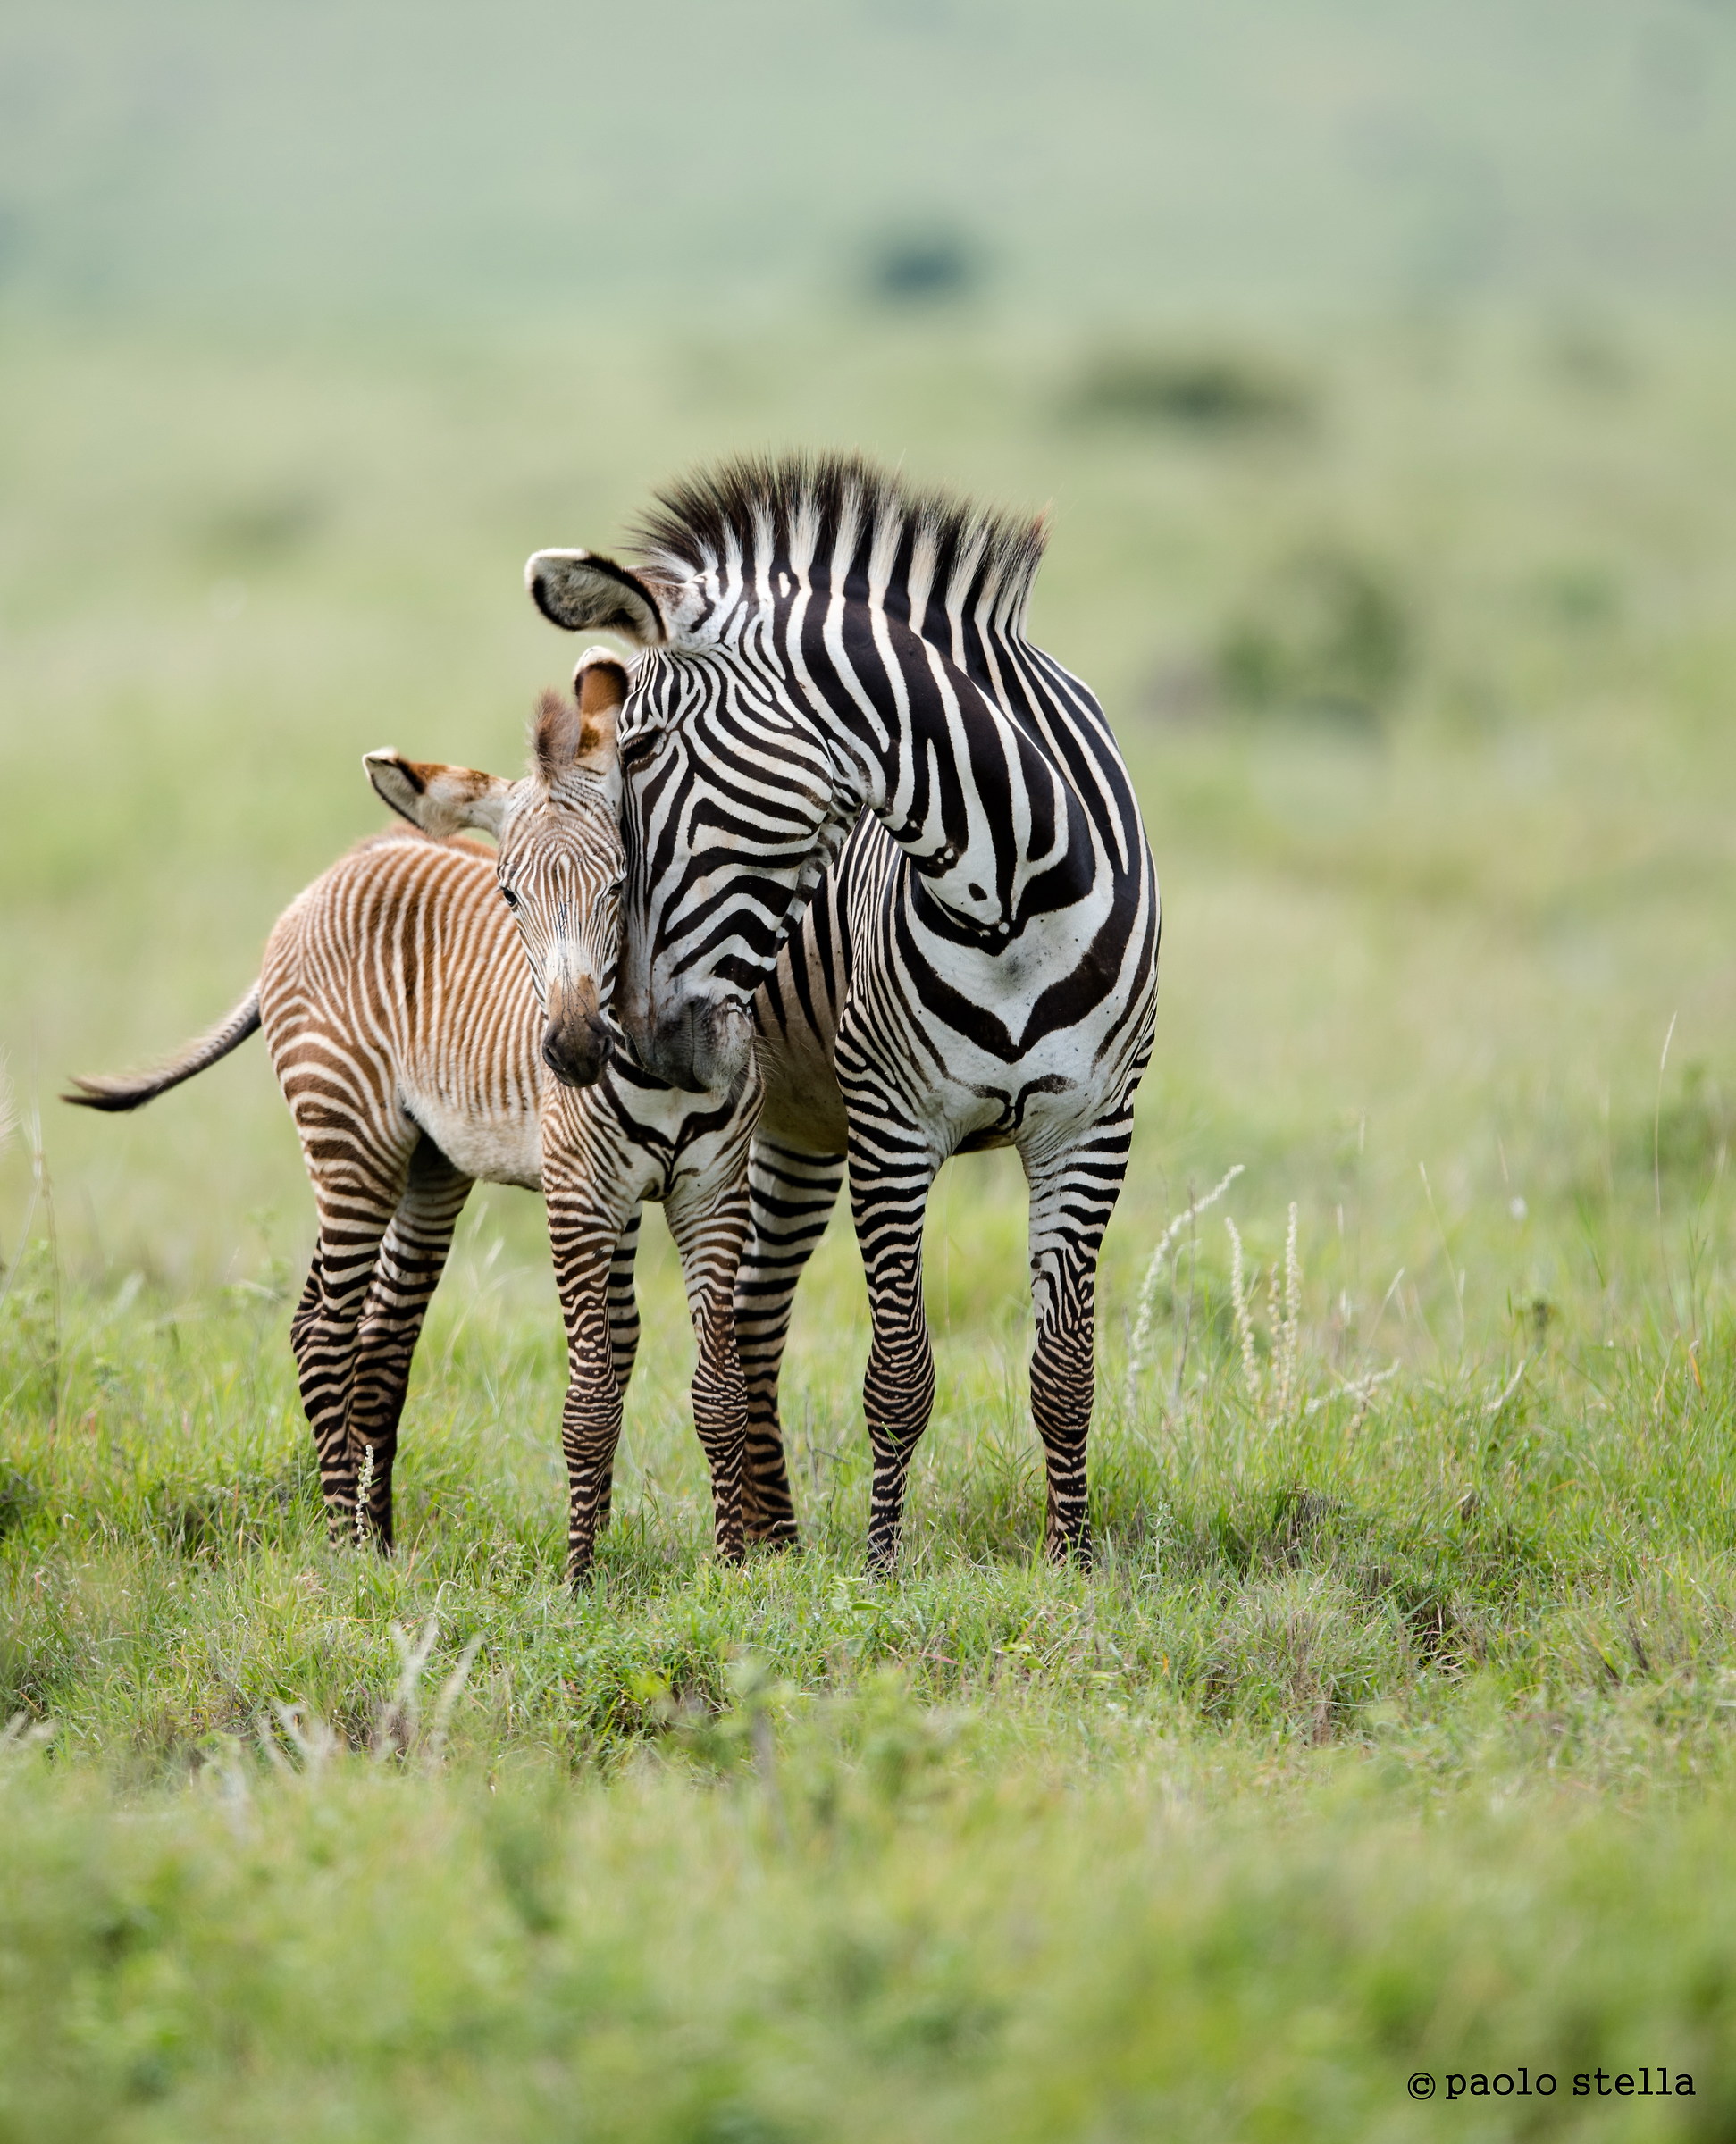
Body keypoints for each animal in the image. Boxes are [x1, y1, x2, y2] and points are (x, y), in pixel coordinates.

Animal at [66, 656, 760, 1579]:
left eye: (621, 884)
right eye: (509, 894)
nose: (574, 1052)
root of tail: (333, 873)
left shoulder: (710, 1192)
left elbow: (715, 1390)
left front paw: (733, 1571)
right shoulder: (580, 1197)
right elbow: (589, 1396)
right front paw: (581, 1580)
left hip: (429, 1165)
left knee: (381, 1342)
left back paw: (384, 1546)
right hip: (349, 1137)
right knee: (323, 1330)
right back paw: (343, 1552)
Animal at [522, 454, 1160, 1569]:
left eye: (640, 753)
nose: (634, 1041)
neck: (1006, 893)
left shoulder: (1091, 1125)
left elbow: (1063, 1370)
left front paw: (1073, 1563)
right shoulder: (892, 1130)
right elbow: (898, 1374)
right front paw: (881, 1570)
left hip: (801, 1133)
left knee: (752, 1321)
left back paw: (770, 1537)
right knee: (743, 1327)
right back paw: (765, 1541)